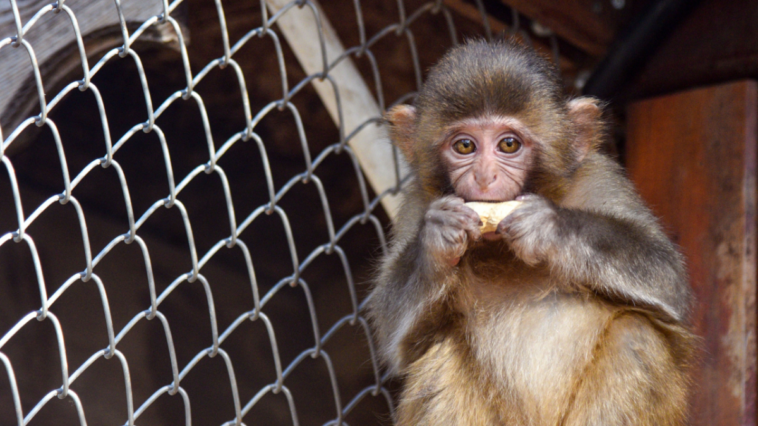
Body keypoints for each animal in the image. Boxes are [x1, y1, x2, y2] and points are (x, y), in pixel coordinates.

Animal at [366, 40, 696, 426]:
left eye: (509, 144)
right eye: (464, 146)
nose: (484, 177)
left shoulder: (600, 176)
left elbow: (666, 276)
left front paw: (550, 228)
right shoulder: (418, 202)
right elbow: (393, 334)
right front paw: (436, 242)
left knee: (636, 335)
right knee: (439, 352)